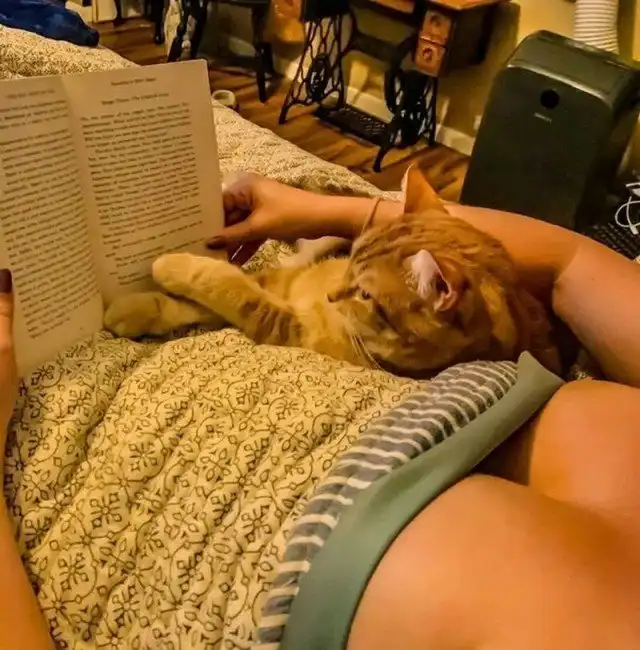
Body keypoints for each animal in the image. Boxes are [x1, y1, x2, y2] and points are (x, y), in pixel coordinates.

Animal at [104, 167, 561, 377]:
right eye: (354, 260)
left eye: (365, 294)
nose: (332, 294)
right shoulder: (279, 281)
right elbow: (204, 294)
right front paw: (136, 308)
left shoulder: (285, 323)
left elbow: (225, 285)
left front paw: (170, 265)